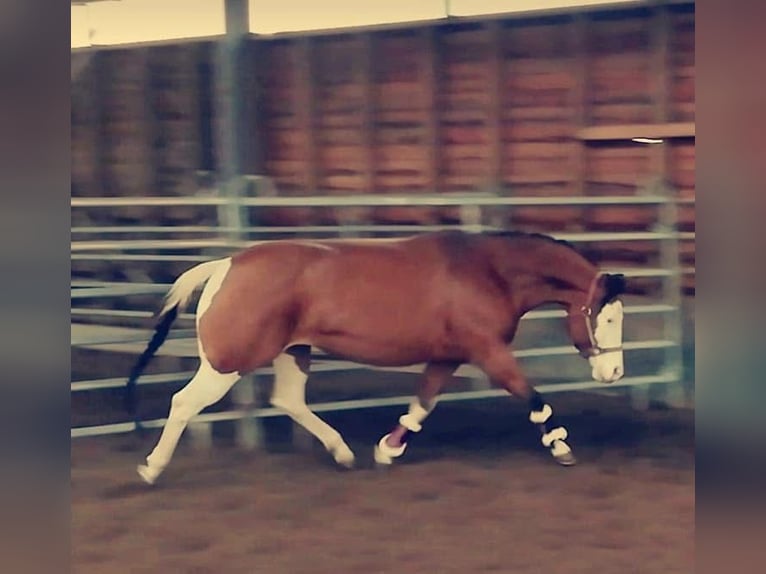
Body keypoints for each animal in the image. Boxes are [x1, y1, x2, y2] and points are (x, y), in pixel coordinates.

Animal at [125, 230, 626, 485]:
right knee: (183, 403)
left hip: (293, 351)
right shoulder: (487, 350)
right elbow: (533, 398)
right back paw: (151, 468)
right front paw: (561, 447)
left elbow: (421, 406)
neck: (487, 270)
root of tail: (226, 265)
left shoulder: (447, 356)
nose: (615, 372)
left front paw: (387, 451)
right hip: (229, 360)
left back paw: (343, 453)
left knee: (288, 401)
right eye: (604, 317)